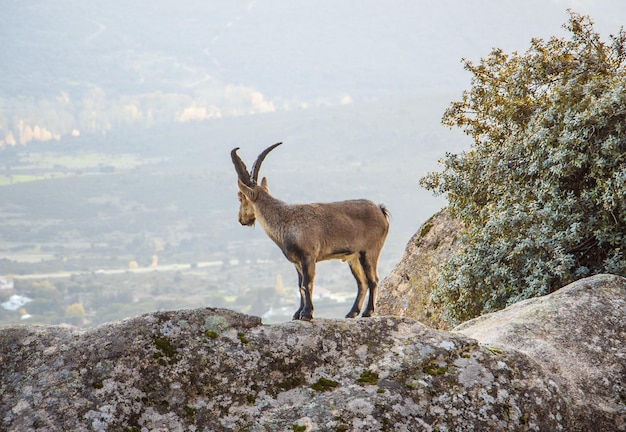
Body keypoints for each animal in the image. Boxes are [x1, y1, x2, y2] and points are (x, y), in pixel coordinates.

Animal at [232, 143, 388, 318]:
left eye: (240, 197)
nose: (241, 220)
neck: (285, 220)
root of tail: (381, 211)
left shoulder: (308, 257)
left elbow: (307, 284)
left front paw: (307, 314)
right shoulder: (297, 262)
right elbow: (299, 286)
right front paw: (297, 313)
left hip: (369, 252)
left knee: (373, 280)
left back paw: (368, 312)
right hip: (353, 257)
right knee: (362, 282)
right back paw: (351, 313)